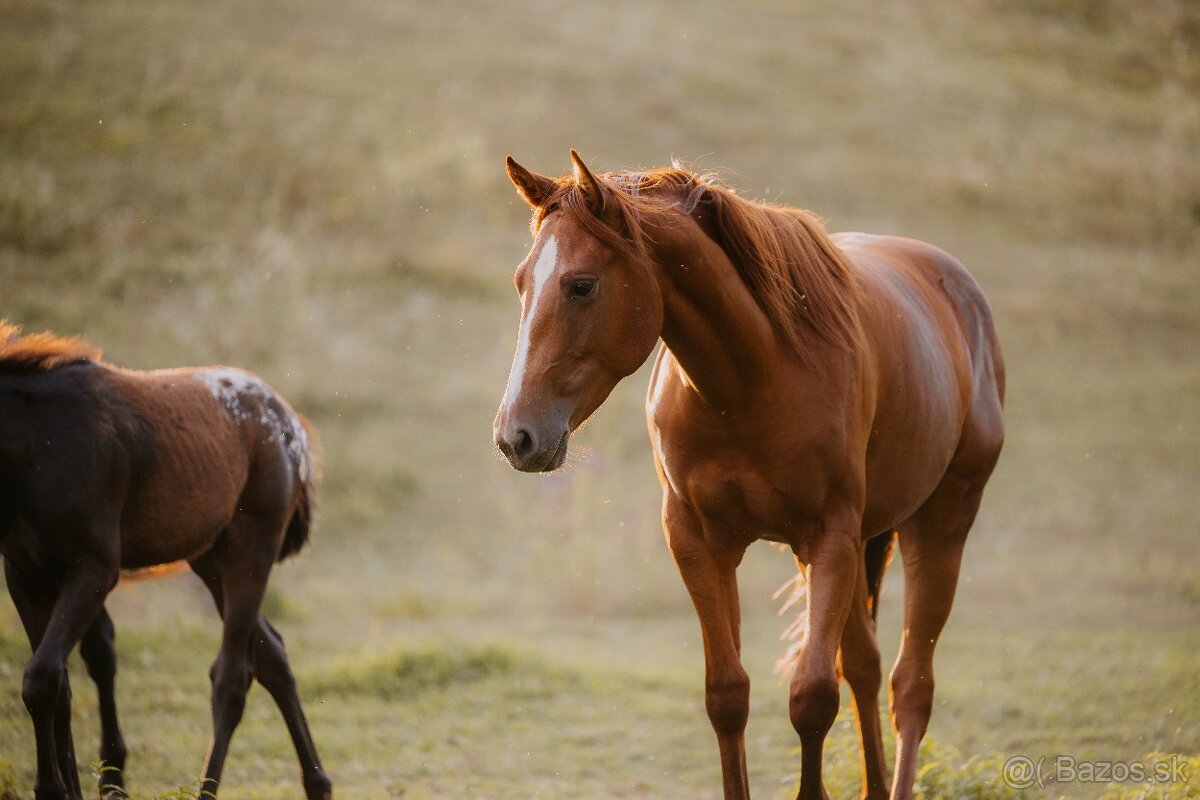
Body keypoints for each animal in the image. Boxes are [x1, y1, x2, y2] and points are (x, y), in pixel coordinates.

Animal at [0, 323, 331, 800]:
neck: (38, 446)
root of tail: (290, 422)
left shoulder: (95, 568)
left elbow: (42, 677)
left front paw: (54, 788)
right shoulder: (25, 574)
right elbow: (55, 682)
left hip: (251, 550)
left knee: (232, 677)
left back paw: (208, 790)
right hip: (210, 559)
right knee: (273, 655)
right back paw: (318, 784)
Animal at [492, 153, 1008, 796]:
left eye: (581, 285)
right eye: (521, 281)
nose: (515, 436)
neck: (752, 379)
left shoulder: (829, 537)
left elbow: (812, 699)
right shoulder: (699, 540)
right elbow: (728, 695)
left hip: (937, 527)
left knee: (910, 687)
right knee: (864, 668)